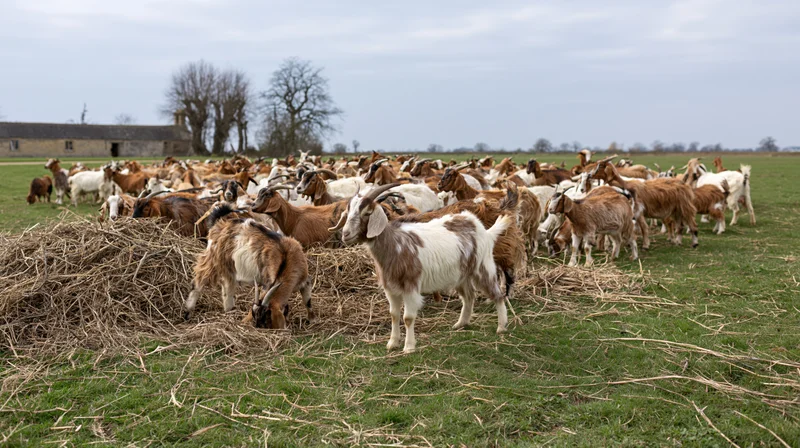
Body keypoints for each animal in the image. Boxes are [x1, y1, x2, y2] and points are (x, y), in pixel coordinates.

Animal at [184, 204, 313, 329]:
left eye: (267, 318)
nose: (257, 327)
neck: (287, 258)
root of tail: (220, 222)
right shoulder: (267, 282)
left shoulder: (305, 280)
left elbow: (308, 301)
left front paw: (311, 320)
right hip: (214, 258)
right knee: (199, 281)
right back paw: (187, 312)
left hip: (229, 267)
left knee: (227, 287)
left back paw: (229, 311)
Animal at [329, 183, 511, 353]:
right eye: (348, 212)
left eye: (367, 213)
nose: (345, 234)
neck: (395, 245)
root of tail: (483, 230)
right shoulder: (390, 288)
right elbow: (394, 315)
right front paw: (392, 343)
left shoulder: (411, 286)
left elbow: (408, 317)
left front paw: (409, 347)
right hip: (461, 274)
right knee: (468, 297)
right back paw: (460, 323)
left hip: (483, 267)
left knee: (497, 294)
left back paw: (501, 326)